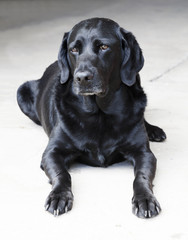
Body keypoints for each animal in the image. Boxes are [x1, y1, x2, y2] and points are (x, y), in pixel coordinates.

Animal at [16, 17, 166, 218]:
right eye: (73, 49)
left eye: (104, 47)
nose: (81, 77)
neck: (99, 114)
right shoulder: (52, 152)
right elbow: (62, 175)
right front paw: (59, 196)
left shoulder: (144, 153)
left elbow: (141, 177)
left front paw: (145, 199)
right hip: (22, 90)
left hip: (136, 78)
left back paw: (154, 130)